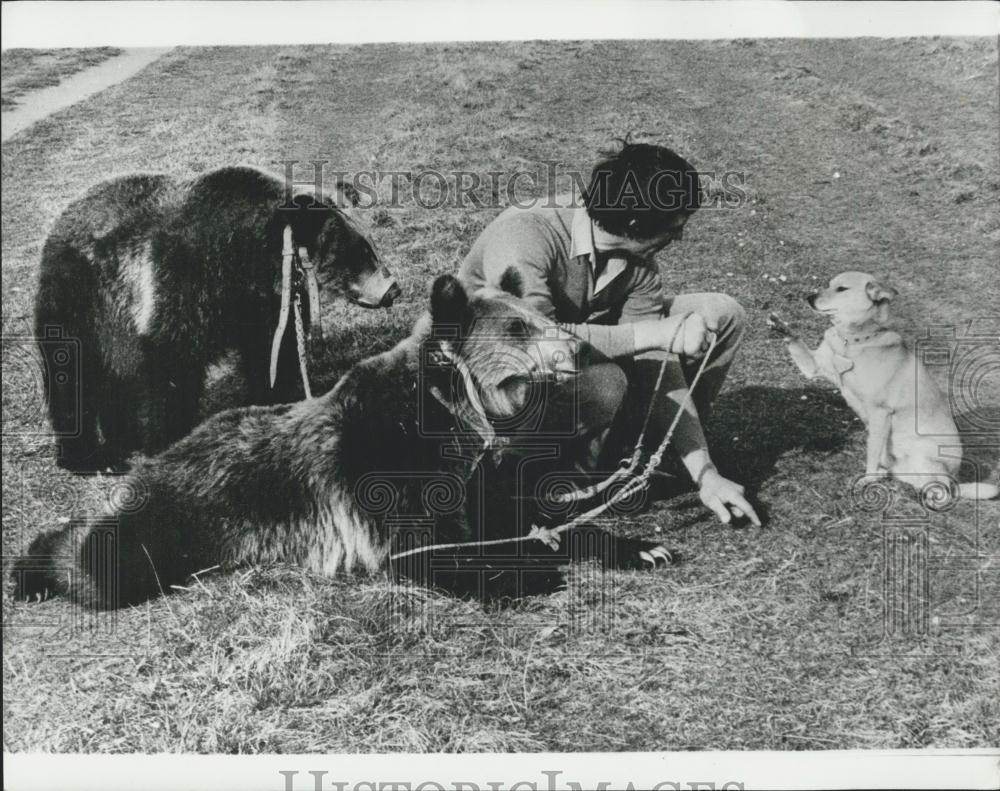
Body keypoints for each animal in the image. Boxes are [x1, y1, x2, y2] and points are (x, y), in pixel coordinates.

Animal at [11, 272, 672, 608]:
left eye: (541, 315)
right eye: (518, 326)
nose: (579, 349)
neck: (455, 413)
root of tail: (168, 450)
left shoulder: (474, 473)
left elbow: (523, 517)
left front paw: (639, 547)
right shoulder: (384, 471)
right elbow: (422, 547)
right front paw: (517, 574)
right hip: (197, 510)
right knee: (107, 560)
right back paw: (32, 568)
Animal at [34, 165, 398, 474]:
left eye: (371, 243)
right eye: (359, 252)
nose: (392, 288)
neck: (243, 262)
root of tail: (60, 223)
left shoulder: (259, 305)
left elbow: (273, 353)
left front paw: (274, 400)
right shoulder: (181, 285)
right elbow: (170, 369)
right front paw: (168, 439)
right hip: (80, 301)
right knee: (72, 372)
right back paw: (90, 458)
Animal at [768, 272, 996, 504]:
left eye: (841, 289)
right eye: (829, 285)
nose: (809, 298)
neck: (852, 341)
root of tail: (954, 478)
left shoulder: (880, 413)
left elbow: (872, 452)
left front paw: (866, 481)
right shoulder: (814, 366)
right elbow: (796, 342)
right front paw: (780, 326)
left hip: (924, 451)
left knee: (944, 490)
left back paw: (931, 495)